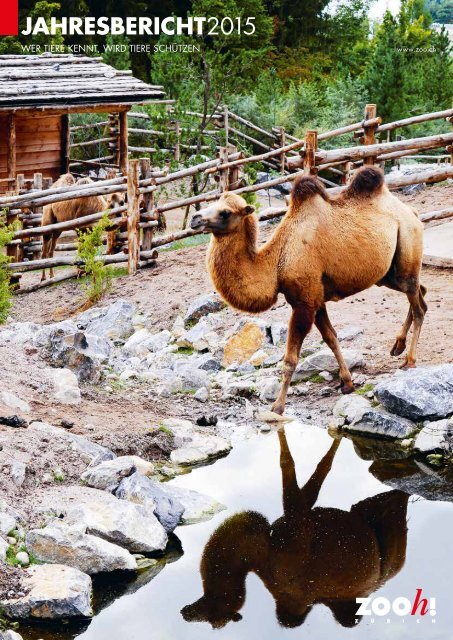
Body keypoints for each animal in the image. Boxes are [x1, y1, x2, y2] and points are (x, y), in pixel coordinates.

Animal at [190, 166, 424, 416]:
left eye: (225, 212)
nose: (195, 219)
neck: (277, 263)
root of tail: (412, 212)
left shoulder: (303, 303)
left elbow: (291, 358)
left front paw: (277, 406)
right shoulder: (316, 299)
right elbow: (331, 337)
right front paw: (347, 383)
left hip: (407, 250)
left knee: (418, 305)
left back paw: (410, 360)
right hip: (388, 275)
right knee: (422, 292)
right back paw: (397, 347)